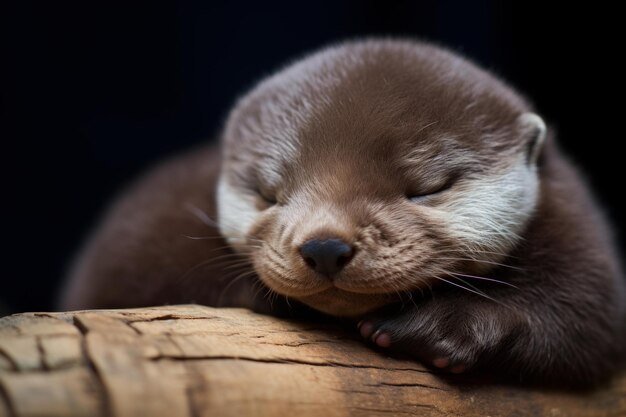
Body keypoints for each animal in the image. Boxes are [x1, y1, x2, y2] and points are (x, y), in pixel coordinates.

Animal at [57, 39, 620, 386]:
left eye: (428, 188)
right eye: (268, 193)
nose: (325, 245)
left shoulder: (575, 225)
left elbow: (581, 321)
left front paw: (436, 328)